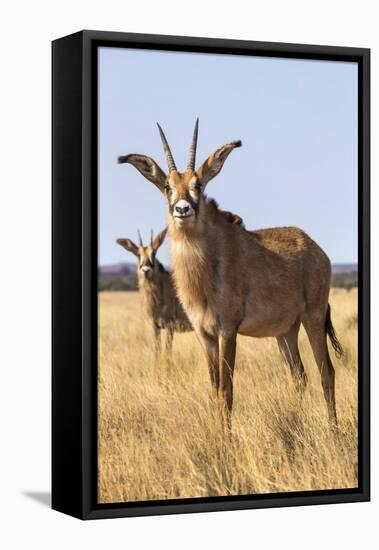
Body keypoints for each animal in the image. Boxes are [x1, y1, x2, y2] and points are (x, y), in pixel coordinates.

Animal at [119, 118, 344, 424]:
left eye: (198, 184)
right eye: (167, 185)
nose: (182, 209)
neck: (207, 265)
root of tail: (316, 249)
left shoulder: (227, 330)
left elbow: (227, 391)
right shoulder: (205, 335)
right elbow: (214, 389)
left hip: (314, 316)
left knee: (326, 372)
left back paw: (333, 428)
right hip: (286, 331)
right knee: (299, 376)